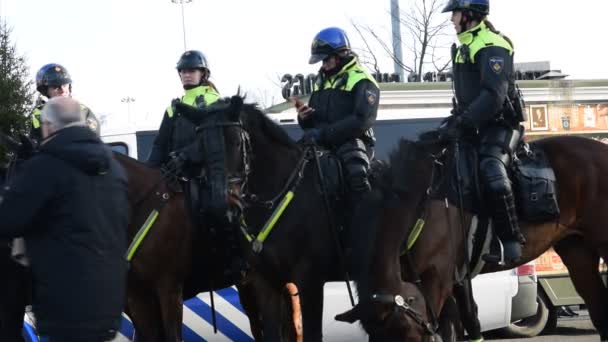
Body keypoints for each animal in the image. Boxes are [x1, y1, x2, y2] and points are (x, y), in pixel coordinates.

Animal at [338, 135, 608, 340]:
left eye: (407, 334)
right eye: (376, 338)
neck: (421, 201)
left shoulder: (437, 279)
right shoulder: (451, 278)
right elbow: (465, 320)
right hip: (577, 251)